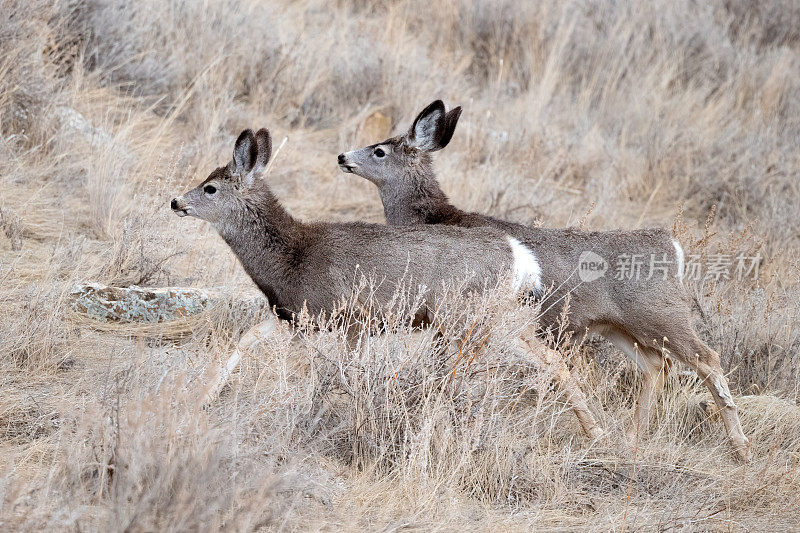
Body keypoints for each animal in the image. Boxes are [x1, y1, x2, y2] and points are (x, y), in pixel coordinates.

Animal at [170, 127, 608, 438]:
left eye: (210, 188)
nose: (176, 201)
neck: (292, 256)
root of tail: (521, 258)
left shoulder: (343, 316)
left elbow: (332, 373)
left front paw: (317, 418)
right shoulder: (299, 317)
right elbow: (249, 339)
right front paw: (203, 398)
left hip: (465, 317)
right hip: (490, 320)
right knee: (549, 360)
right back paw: (596, 432)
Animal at [340, 101, 752, 462]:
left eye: (379, 151)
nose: (343, 157)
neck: (435, 219)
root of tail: (673, 247)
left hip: (662, 315)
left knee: (707, 358)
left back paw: (740, 447)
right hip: (621, 327)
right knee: (656, 366)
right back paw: (630, 438)